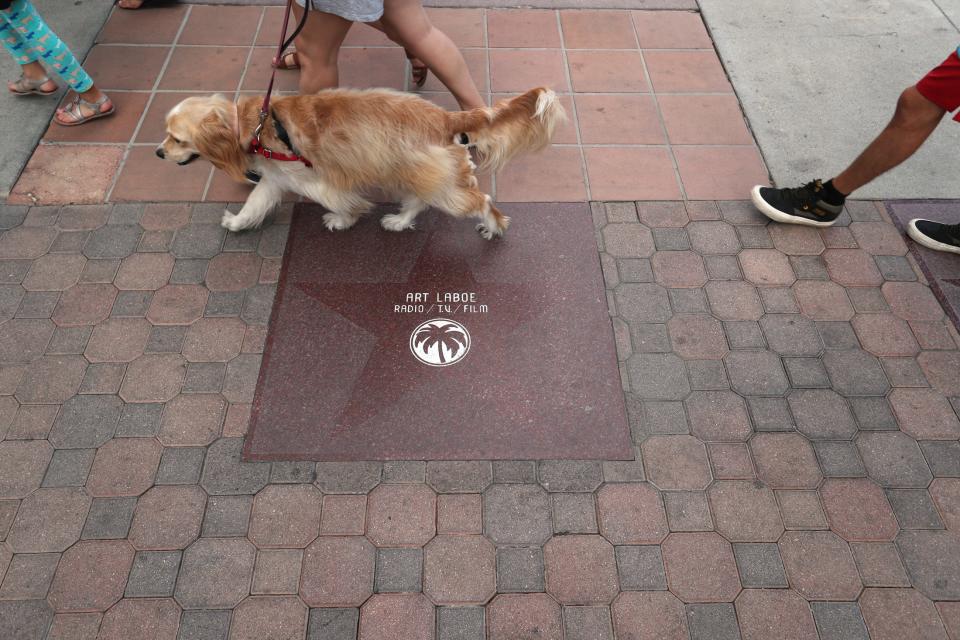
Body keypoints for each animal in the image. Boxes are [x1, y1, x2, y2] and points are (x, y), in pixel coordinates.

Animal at [156, 89, 564, 239]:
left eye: (177, 138)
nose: (158, 153)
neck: (254, 124)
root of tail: (446, 117)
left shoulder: (315, 178)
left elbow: (340, 201)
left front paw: (343, 219)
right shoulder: (273, 179)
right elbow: (254, 204)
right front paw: (238, 223)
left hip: (442, 185)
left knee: (482, 202)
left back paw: (493, 227)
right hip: (413, 171)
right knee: (418, 200)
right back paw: (399, 220)